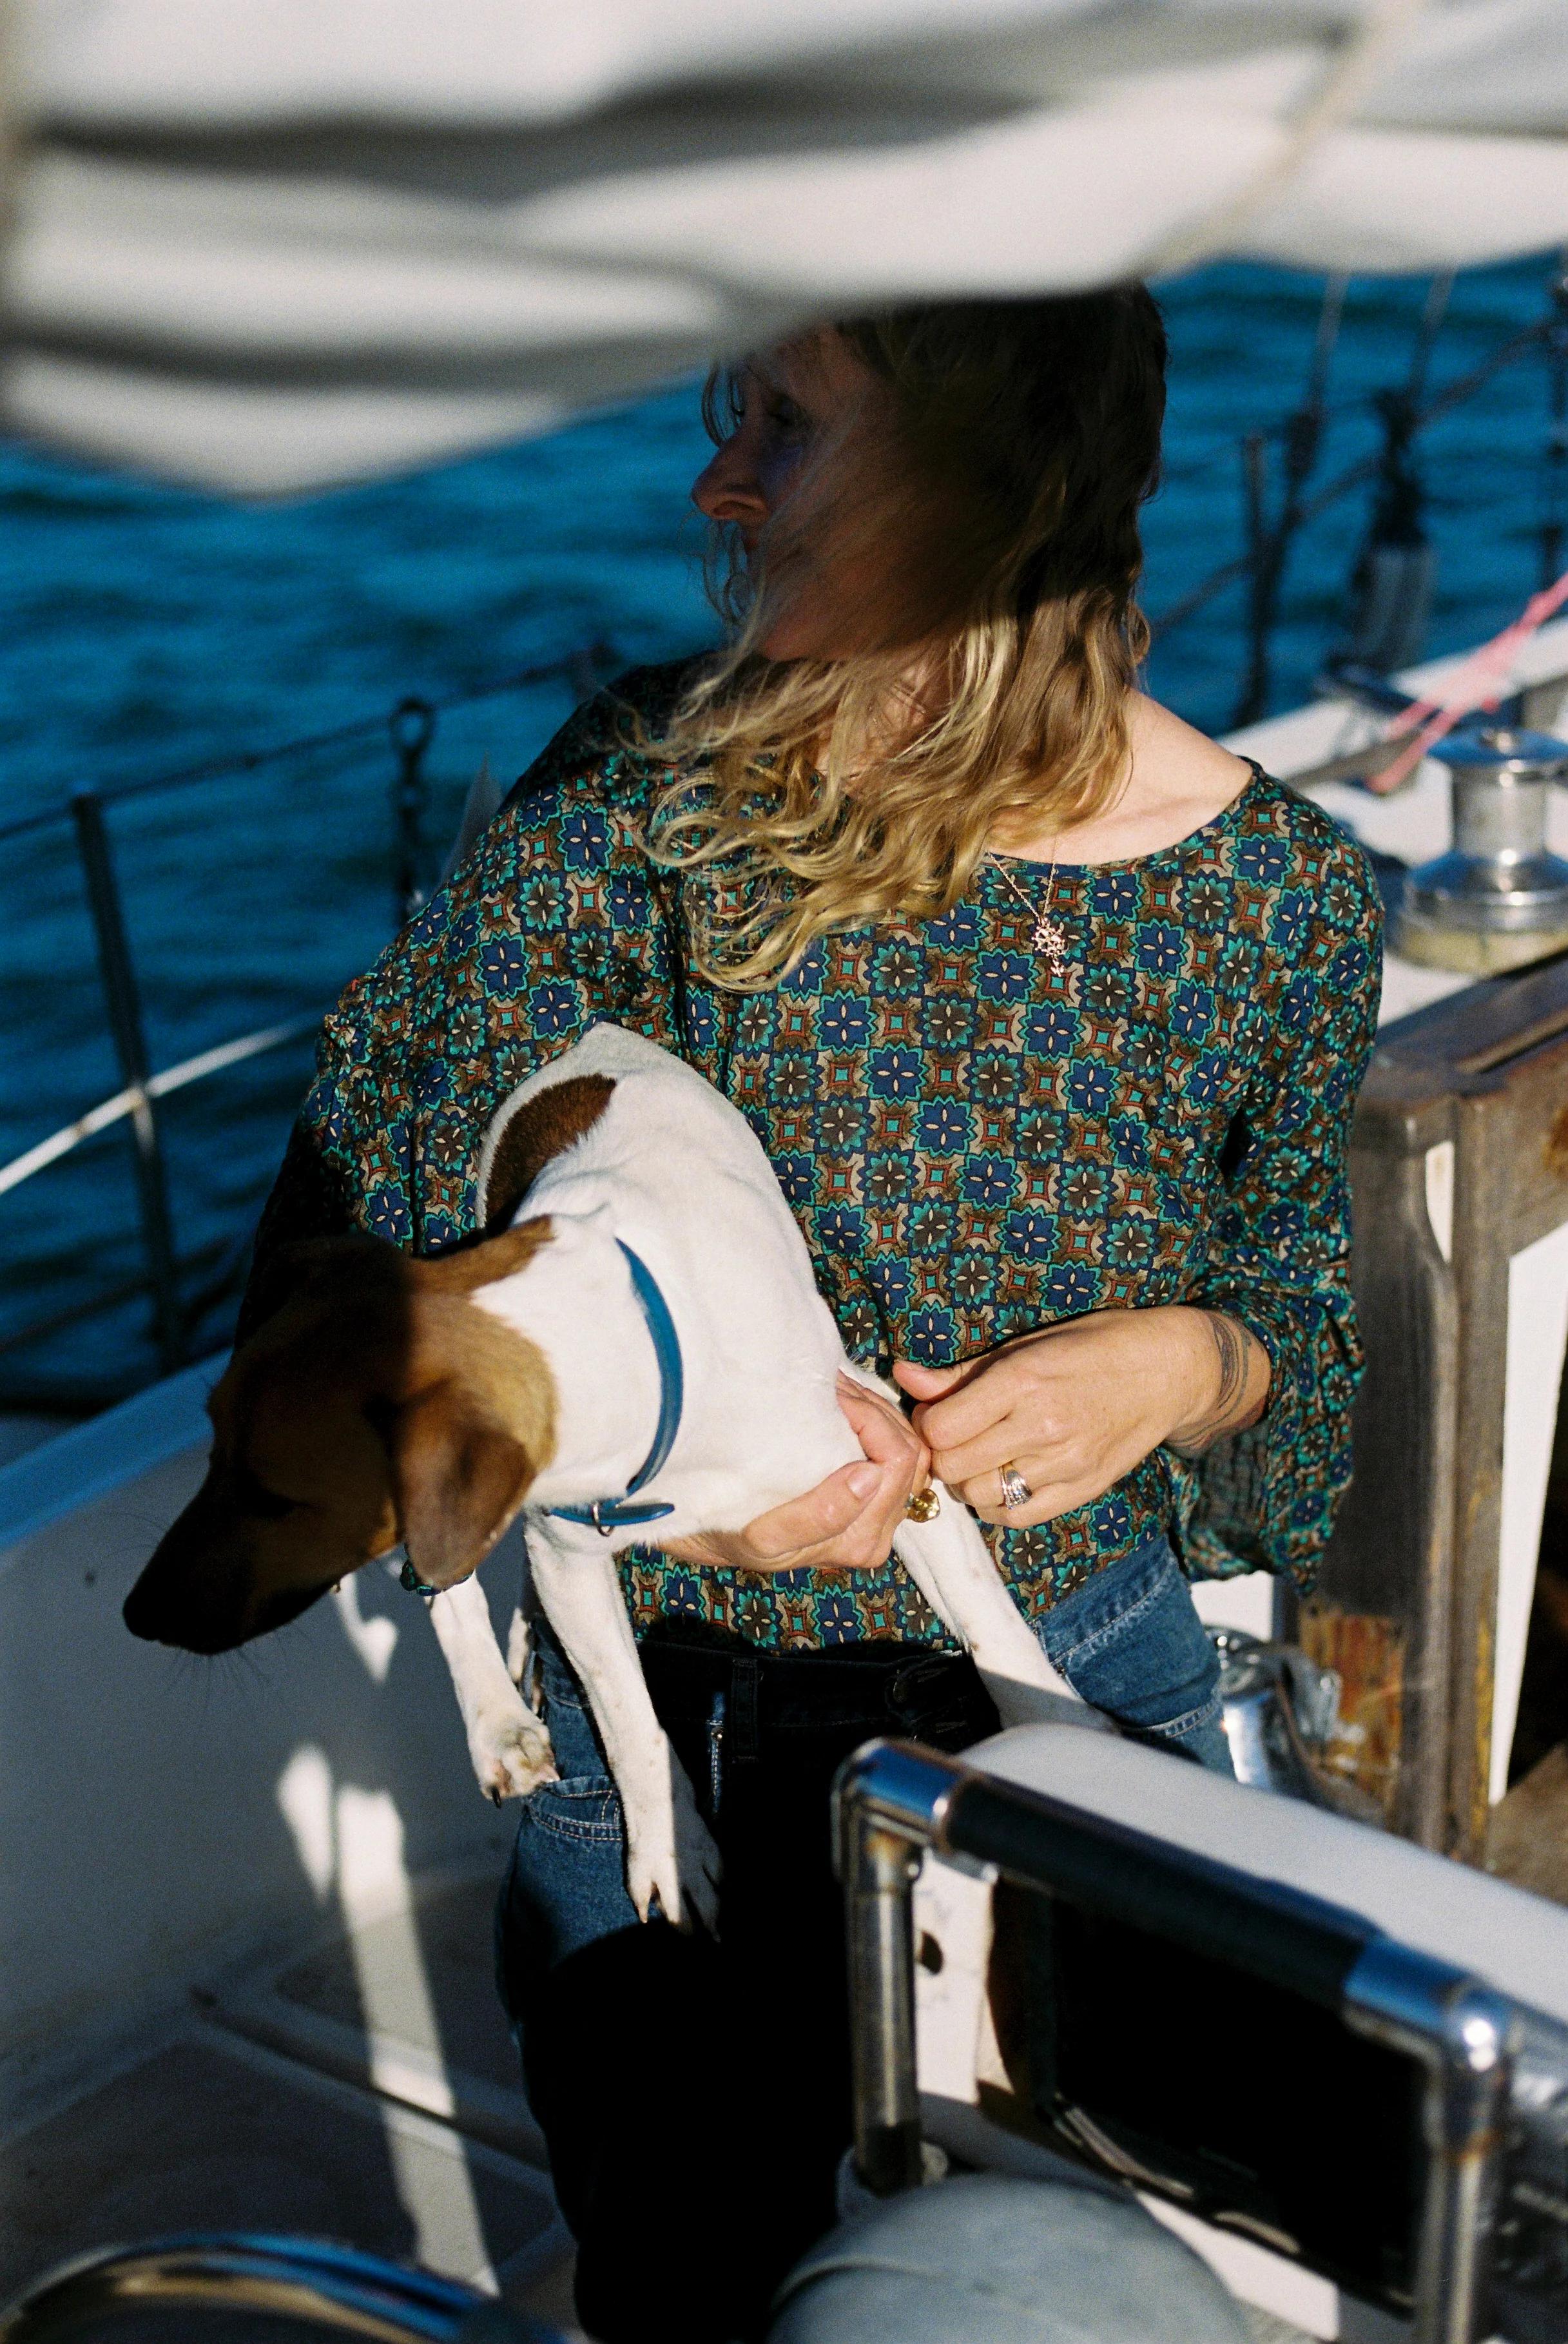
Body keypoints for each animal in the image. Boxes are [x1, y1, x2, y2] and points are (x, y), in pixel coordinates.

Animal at [125, 1027, 1078, 1922]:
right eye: (212, 1445)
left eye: (273, 1496)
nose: (136, 1616)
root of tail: (595, 1041)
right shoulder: (564, 1552)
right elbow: (631, 1724)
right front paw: (671, 1848)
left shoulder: (894, 1455)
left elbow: (998, 1637)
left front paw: (1059, 1744)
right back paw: (499, 1717)